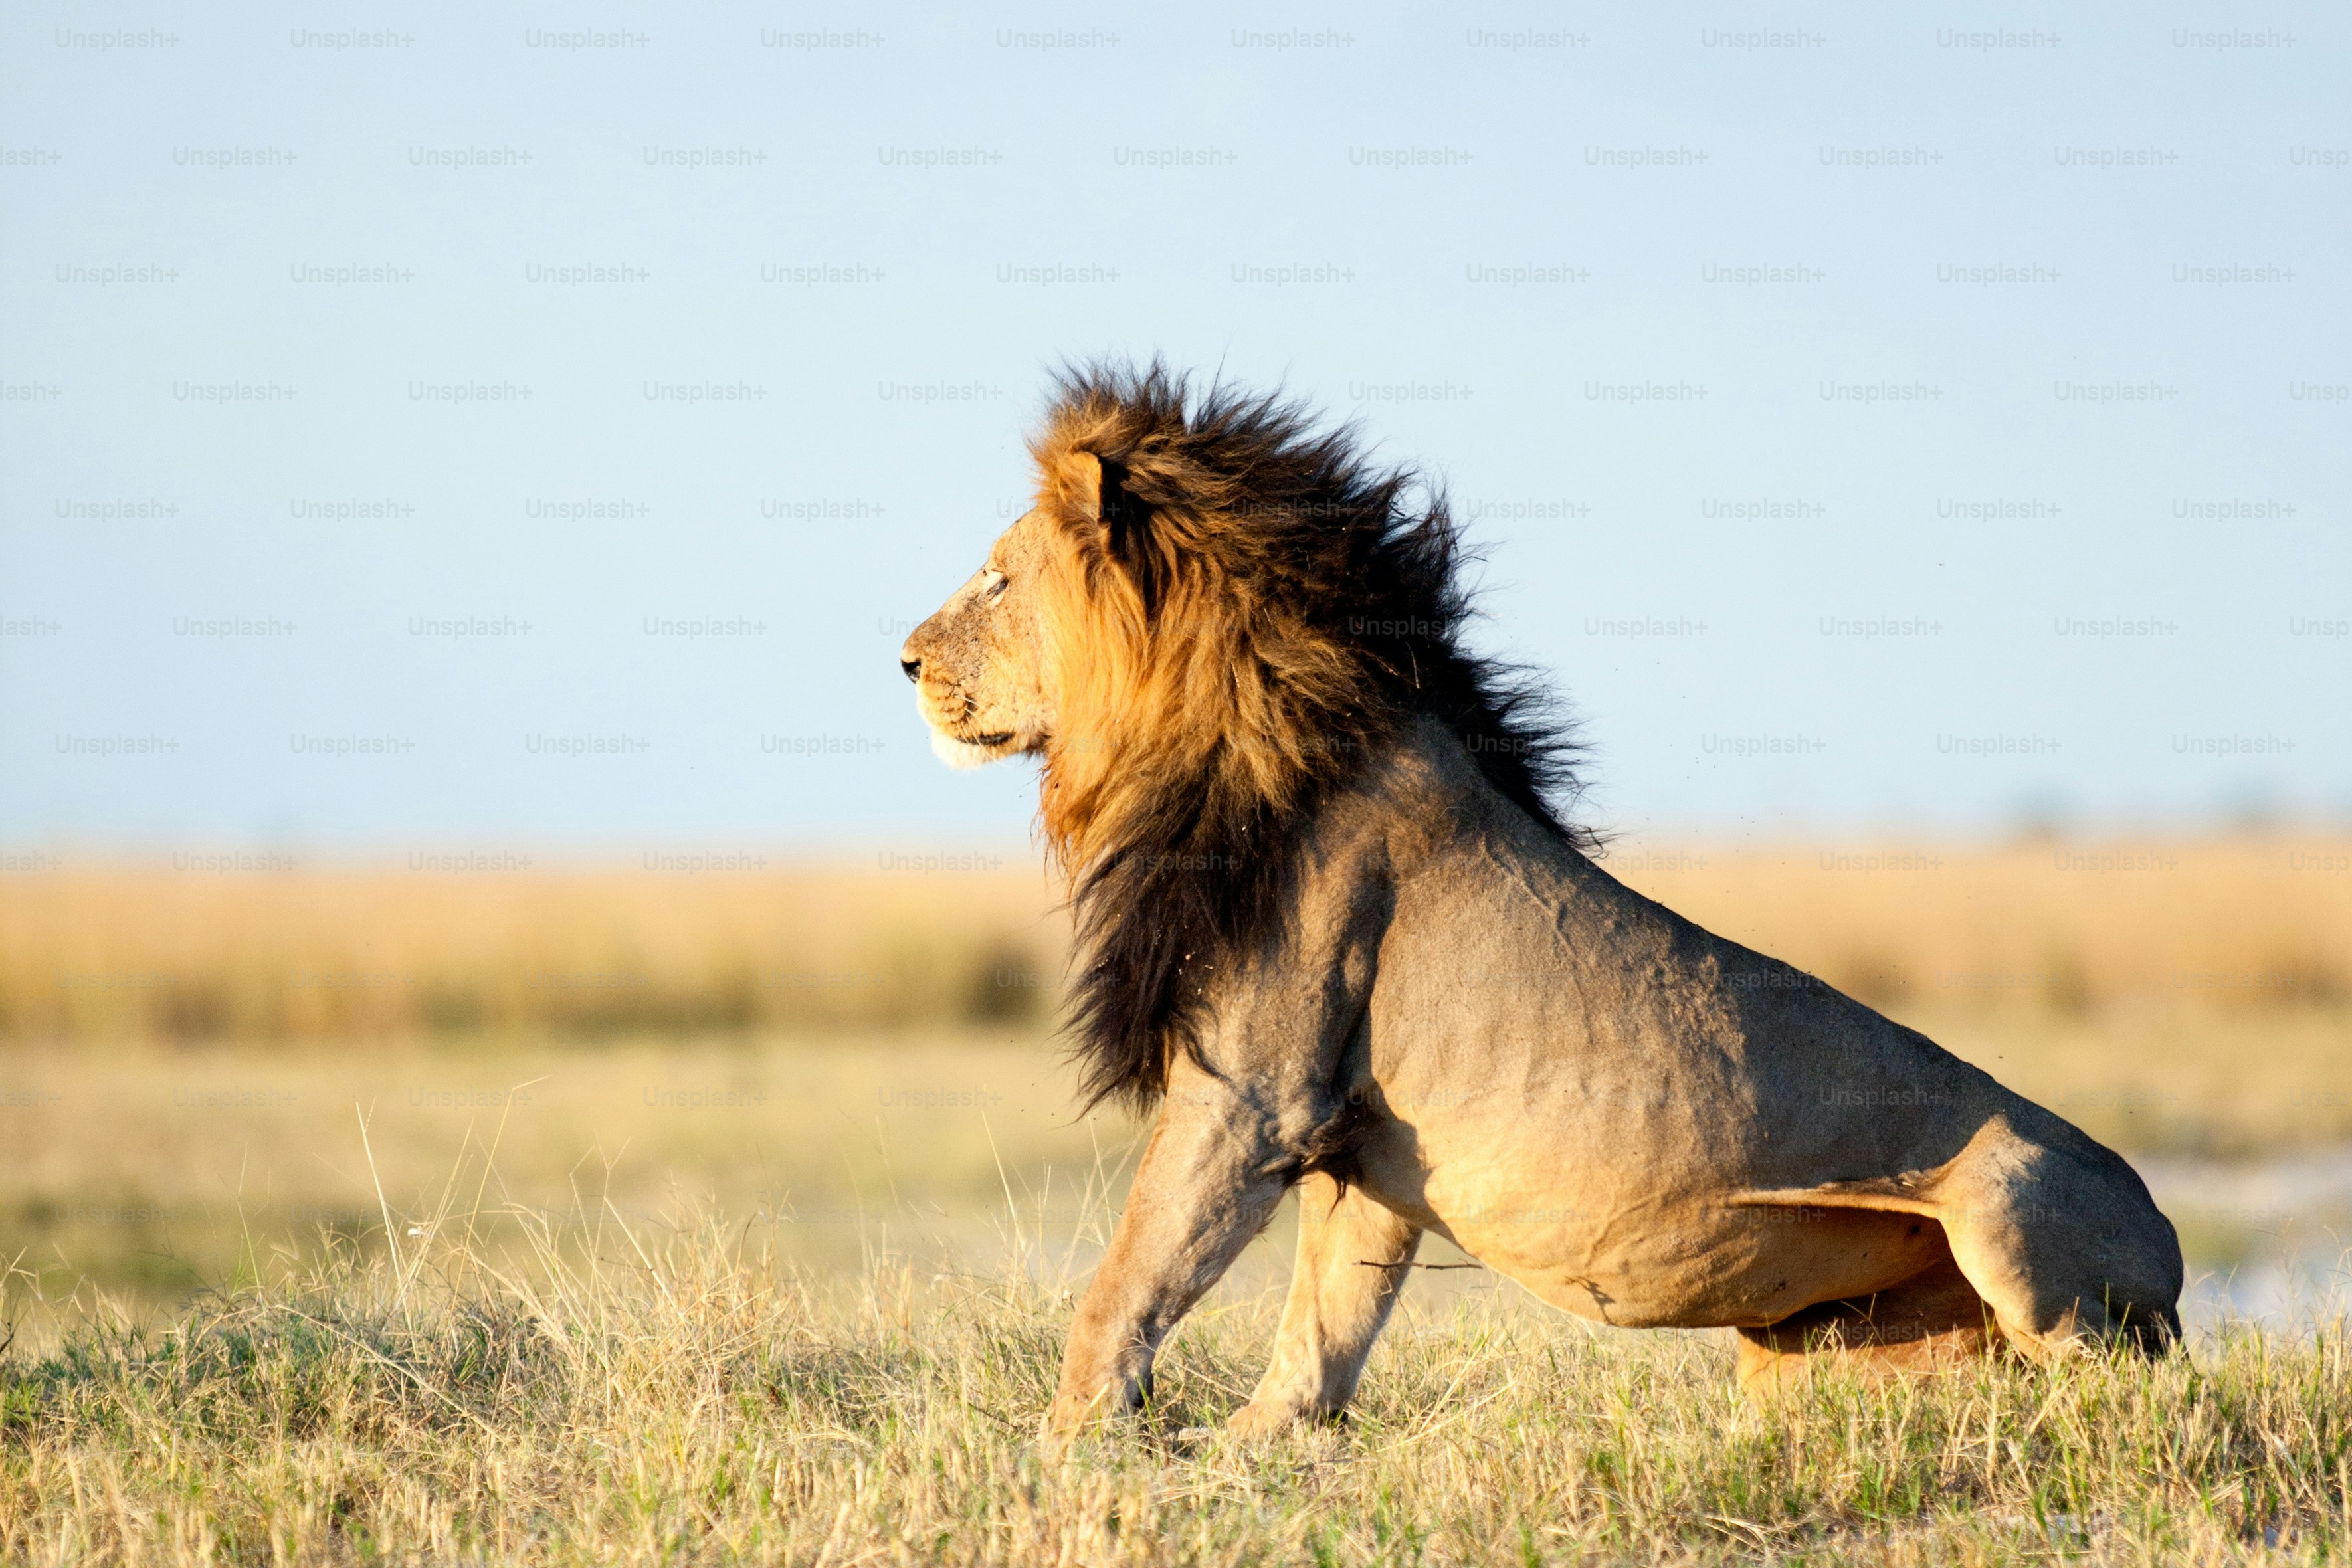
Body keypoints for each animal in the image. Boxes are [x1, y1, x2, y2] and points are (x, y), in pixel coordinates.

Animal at [898, 362, 2183, 1435]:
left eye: (997, 579)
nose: (903, 660)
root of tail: (2169, 1234)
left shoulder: (1251, 1093)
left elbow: (1126, 1285)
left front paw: (1068, 1450)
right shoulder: (1362, 1150)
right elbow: (1323, 1330)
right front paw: (1249, 1456)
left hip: (2012, 1206)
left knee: (2123, 1381)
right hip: (1801, 1356)